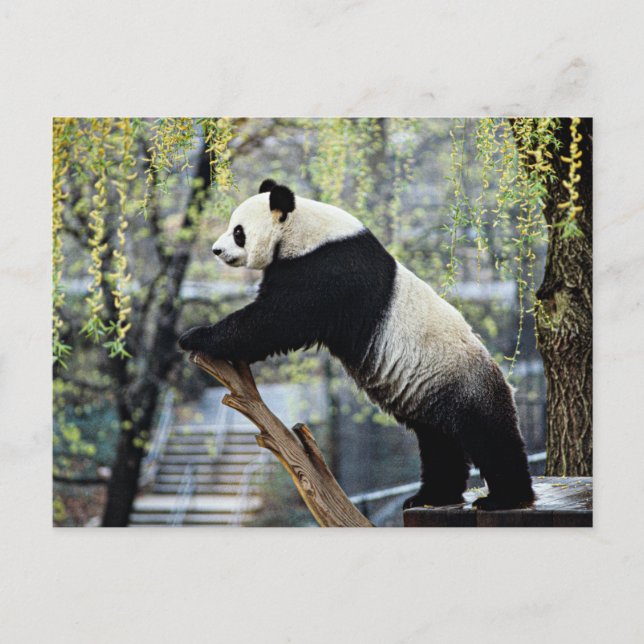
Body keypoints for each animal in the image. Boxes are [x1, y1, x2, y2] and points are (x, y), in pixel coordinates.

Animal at [179, 179, 535, 511]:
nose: (216, 250)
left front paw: (195, 336)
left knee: (489, 437)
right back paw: (431, 497)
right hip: (432, 395)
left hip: (464, 384)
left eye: (238, 232)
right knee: (439, 444)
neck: (305, 229)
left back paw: (506, 498)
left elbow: (276, 320)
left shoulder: (327, 270)